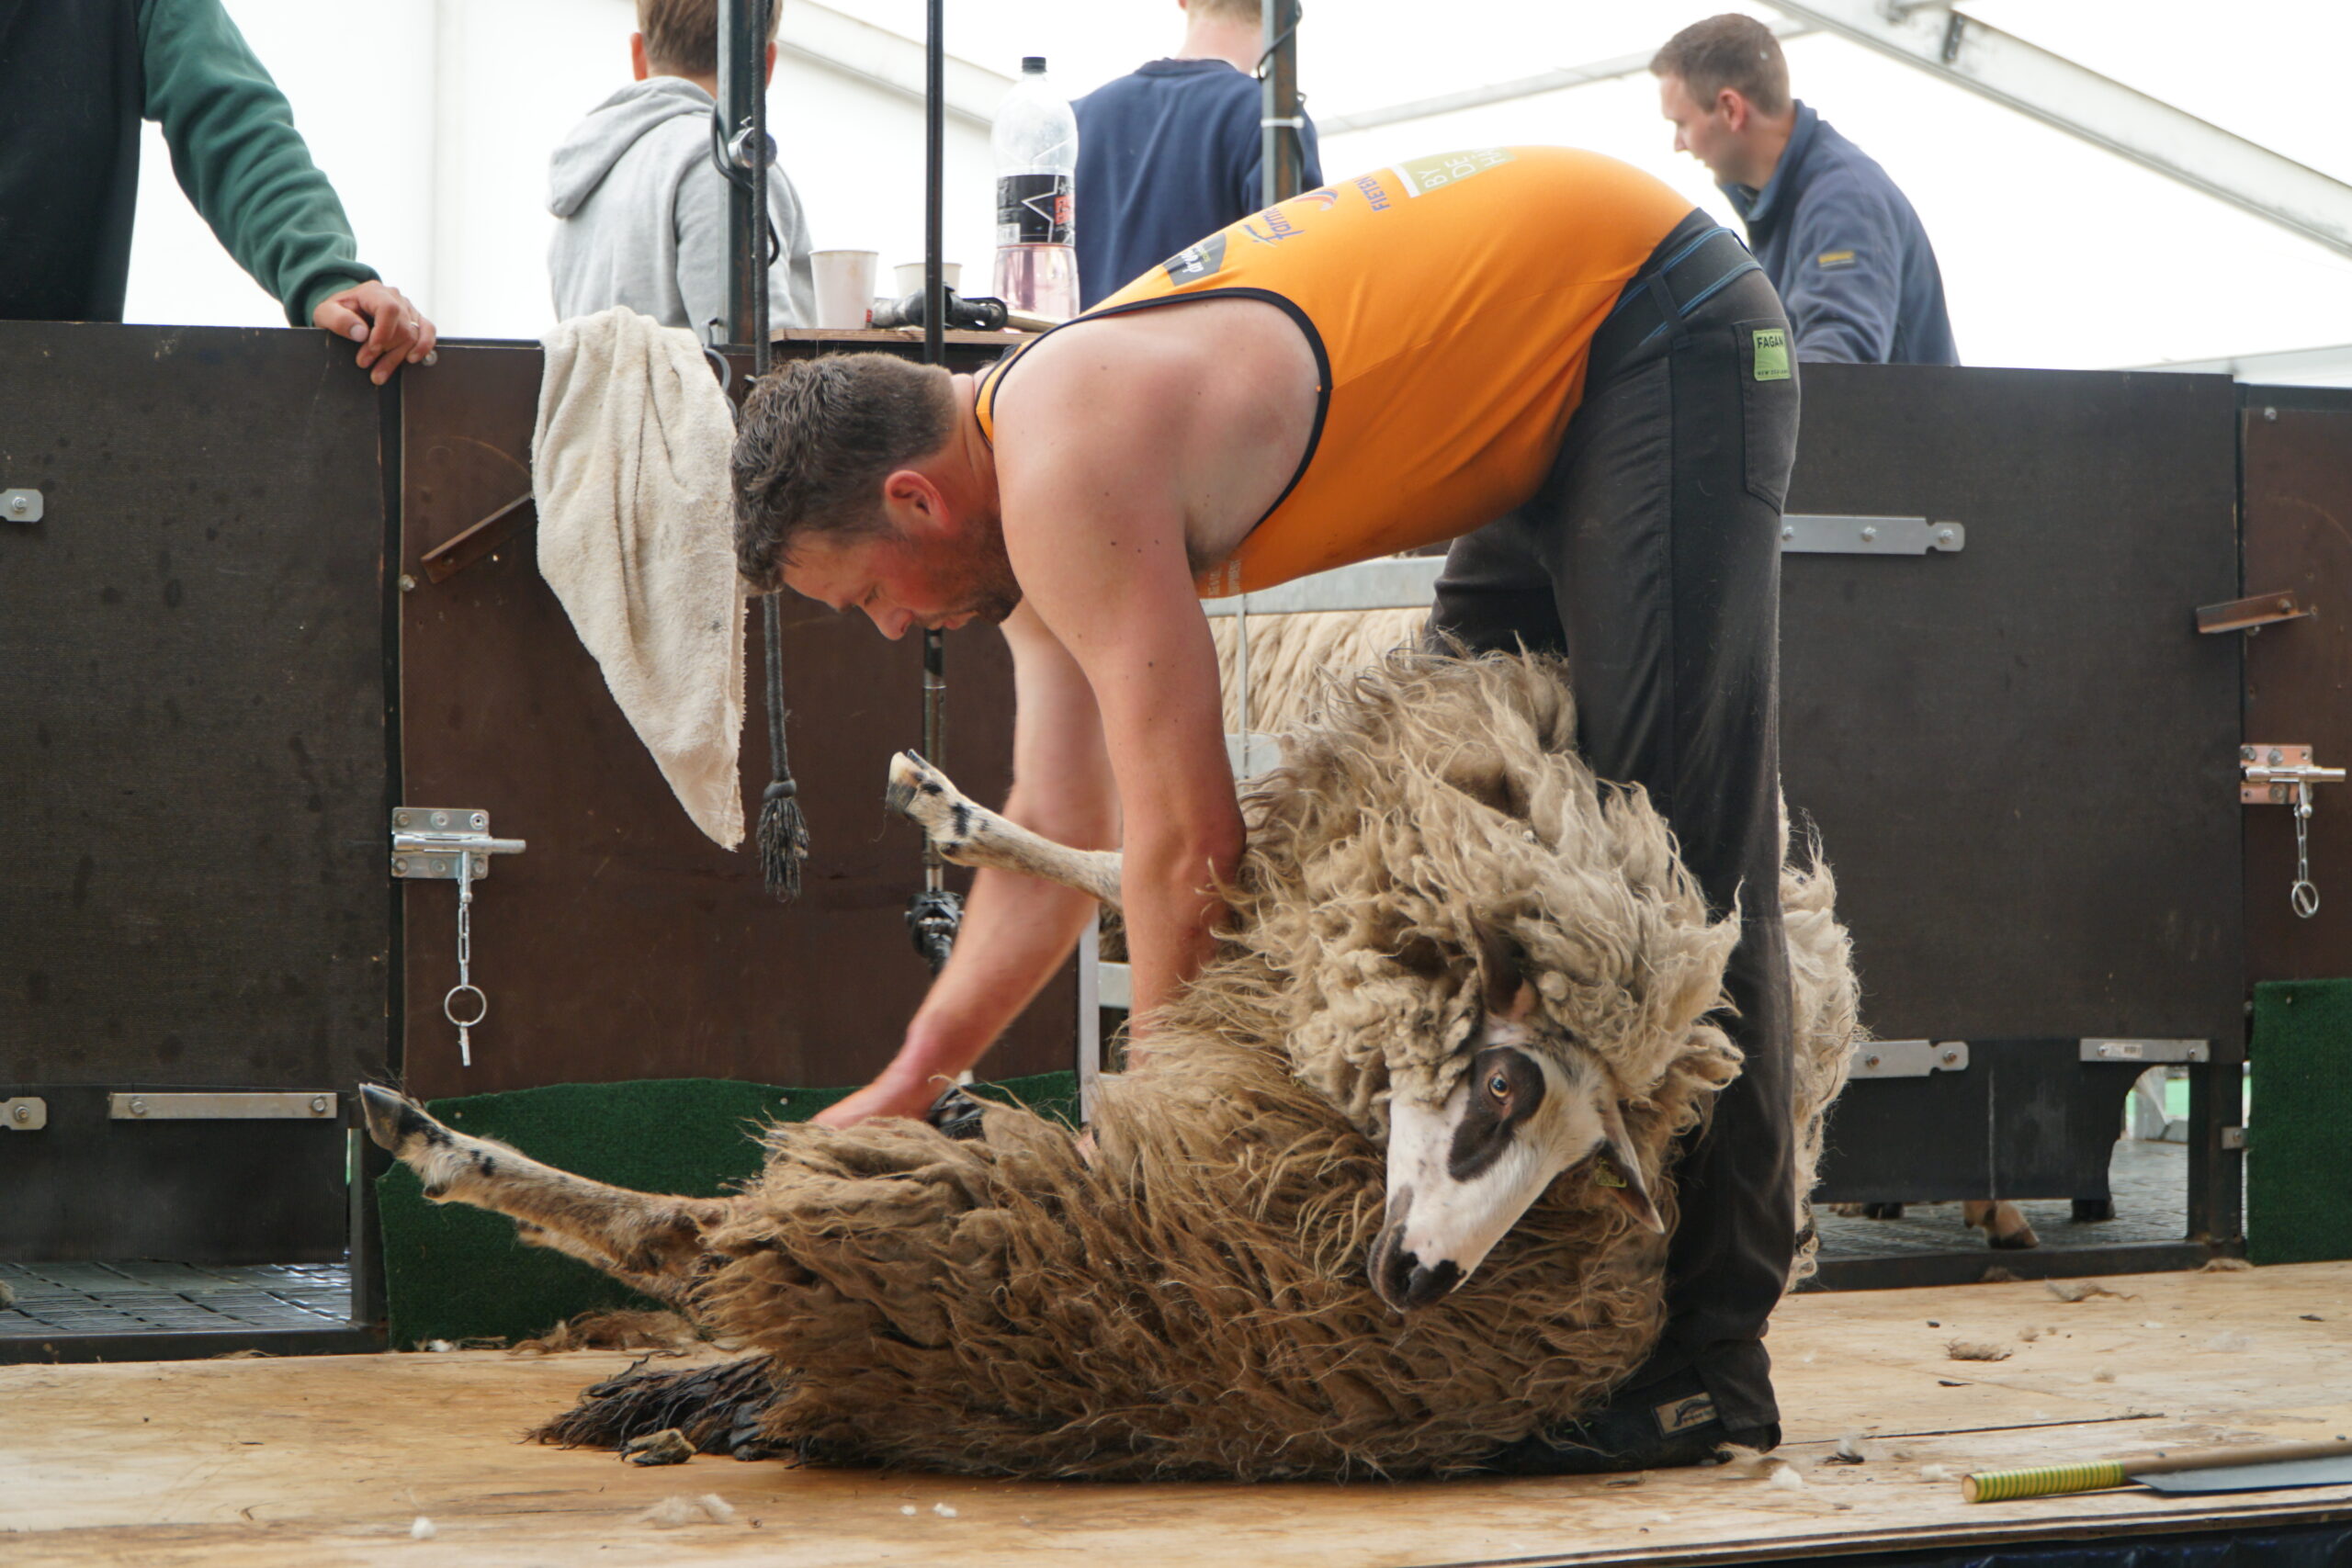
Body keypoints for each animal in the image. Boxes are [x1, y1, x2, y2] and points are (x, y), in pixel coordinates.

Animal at [362, 650, 1858, 1480]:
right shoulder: (1261, 928)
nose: (1422, 1283)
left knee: (685, 1236)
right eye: (1504, 1083)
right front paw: (952, 809)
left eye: (1566, 1145)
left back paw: (434, 1138)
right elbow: (1135, 868)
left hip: (937, 1215)